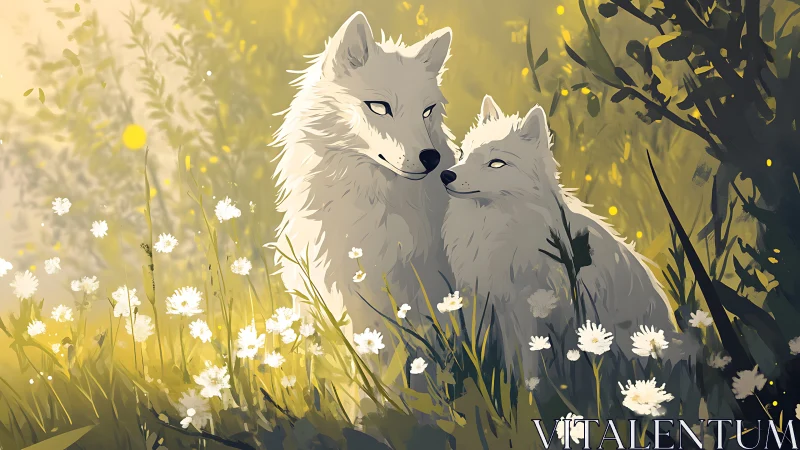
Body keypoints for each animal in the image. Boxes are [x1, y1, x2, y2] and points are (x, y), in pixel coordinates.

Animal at [441, 95, 685, 379]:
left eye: (496, 163)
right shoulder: (498, 304)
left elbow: (528, 365)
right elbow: (508, 361)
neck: (494, 226)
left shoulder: (525, 305)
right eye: (462, 154)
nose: (446, 175)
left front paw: (528, 391)